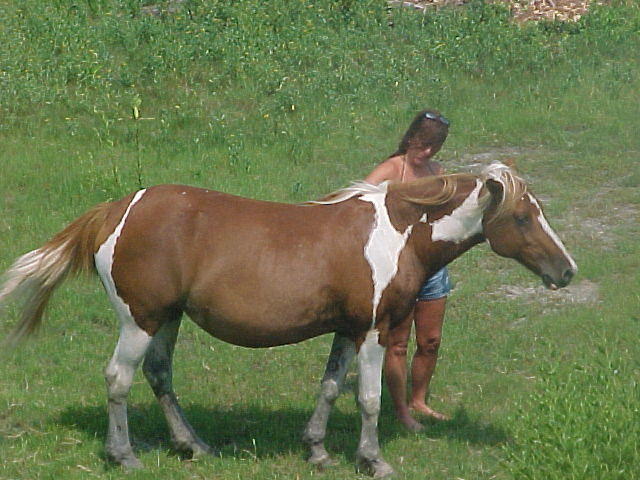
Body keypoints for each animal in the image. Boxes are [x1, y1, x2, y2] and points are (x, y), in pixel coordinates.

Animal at [0, 162, 576, 477]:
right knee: (118, 380)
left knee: (159, 376)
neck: (399, 232)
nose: (566, 271)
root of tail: (117, 210)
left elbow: (329, 387)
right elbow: (368, 399)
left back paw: (193, 445)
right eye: (522, 217)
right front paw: (373, 460)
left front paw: (317, 451)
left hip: (167, 320)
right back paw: (124, 456)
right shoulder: (374, 331)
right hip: (139, 320)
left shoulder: (346, 330)